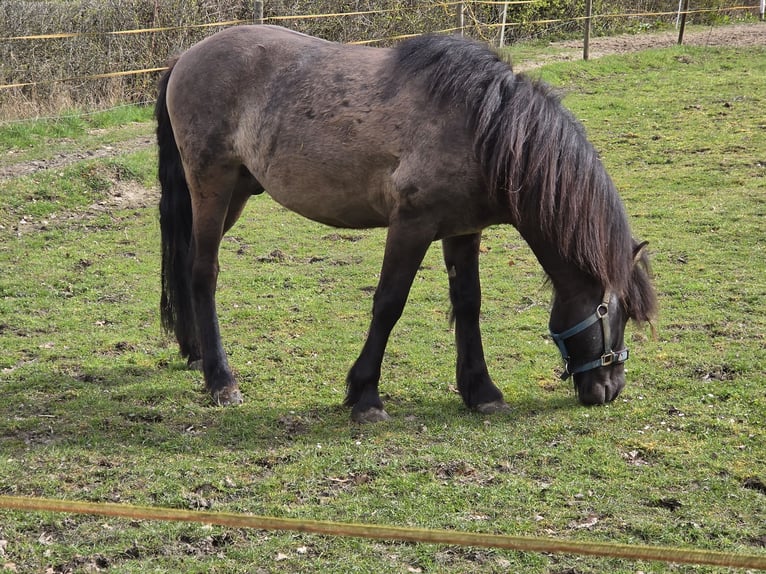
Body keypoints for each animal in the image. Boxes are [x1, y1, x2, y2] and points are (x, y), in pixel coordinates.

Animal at [155, 25, 656, 423]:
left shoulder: (463, 230)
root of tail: (187, 56)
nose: (610, 389)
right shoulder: (411, 226)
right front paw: (365, 396)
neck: (484, 128)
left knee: (186, 263)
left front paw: (481, 391)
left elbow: (468, 303)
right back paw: (221, 379)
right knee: (203, 272)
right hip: (212, 186)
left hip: (237, 193)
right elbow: (389, 304)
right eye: (614, 312)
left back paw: (194, 352)